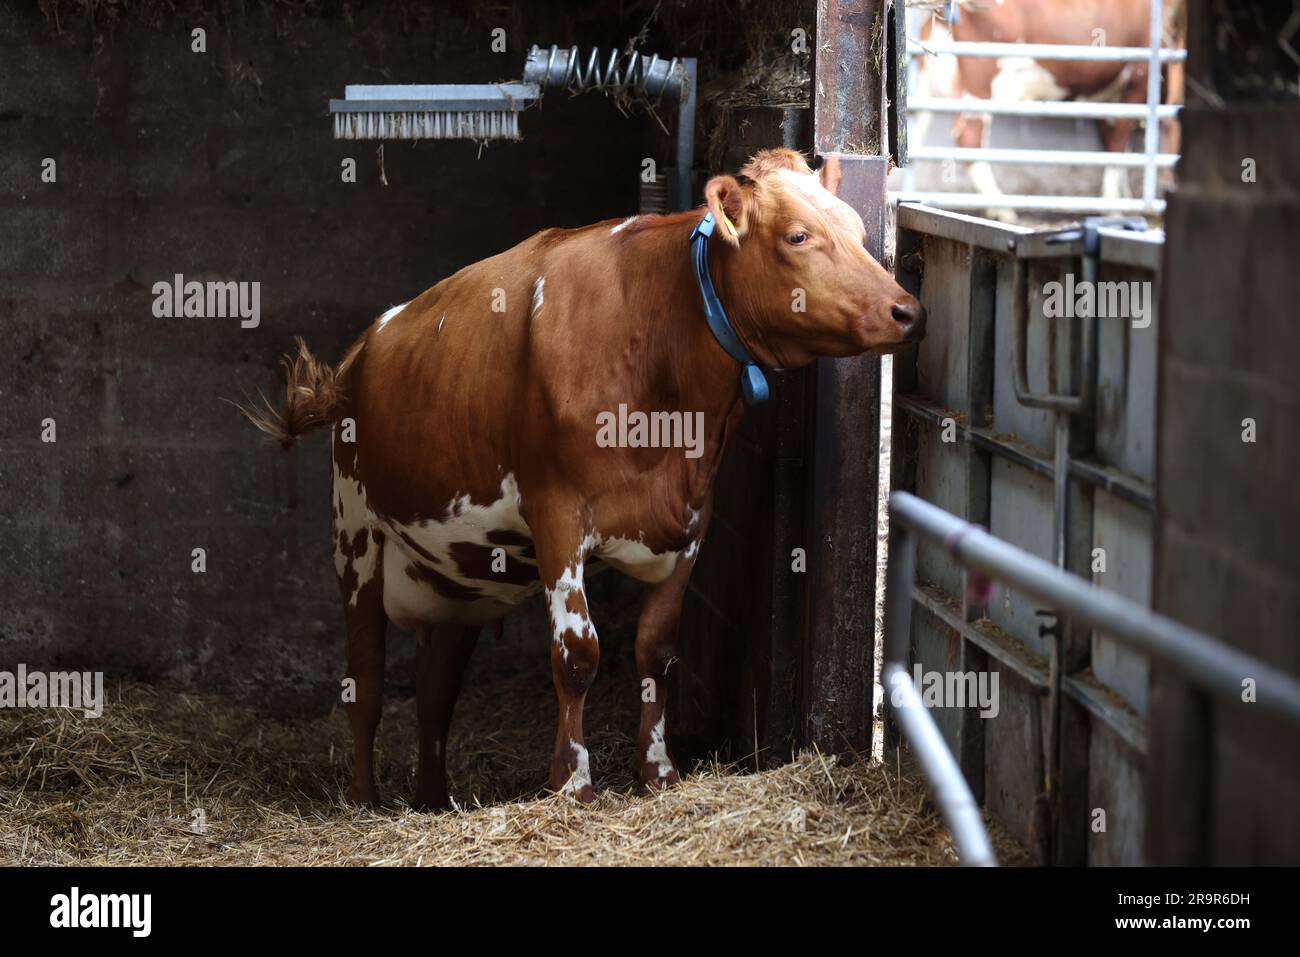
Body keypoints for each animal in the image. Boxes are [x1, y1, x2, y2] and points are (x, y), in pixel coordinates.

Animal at [241, 148, 925, 811]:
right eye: (797, 235)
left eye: (860, 228)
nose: (908, 311)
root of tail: (362, 349)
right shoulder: (557, 514)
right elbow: (577, 654)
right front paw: (572, 783)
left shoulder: (692, 520)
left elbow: (656, 651)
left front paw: (659, 774)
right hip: (354, 537)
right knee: (366, 682)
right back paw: (364, 801)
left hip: (459, 581)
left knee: (436, 694)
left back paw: (432, 802)